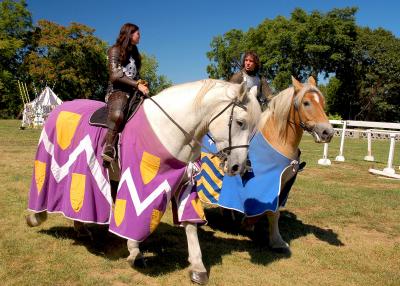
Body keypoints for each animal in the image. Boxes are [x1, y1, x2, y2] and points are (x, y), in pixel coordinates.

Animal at [25, 79, 262, 286]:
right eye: (240, 122)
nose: (238, 167)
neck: (170, 129)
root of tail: (58, 108)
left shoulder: (186, 182)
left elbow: (190, 225)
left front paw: (197, 268)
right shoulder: (142, 179)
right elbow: (135, 217)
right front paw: (135, 251)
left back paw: (80, 227)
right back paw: (36, 217)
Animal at [198, 75, 334, 252]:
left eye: (322, 102)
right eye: (306, 103)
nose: (328, 132)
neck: (278, 139)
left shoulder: (282, 183)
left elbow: (271, 212)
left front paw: (253, 226)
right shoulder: (269, 183)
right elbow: (271, 212)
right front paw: (274, 239)